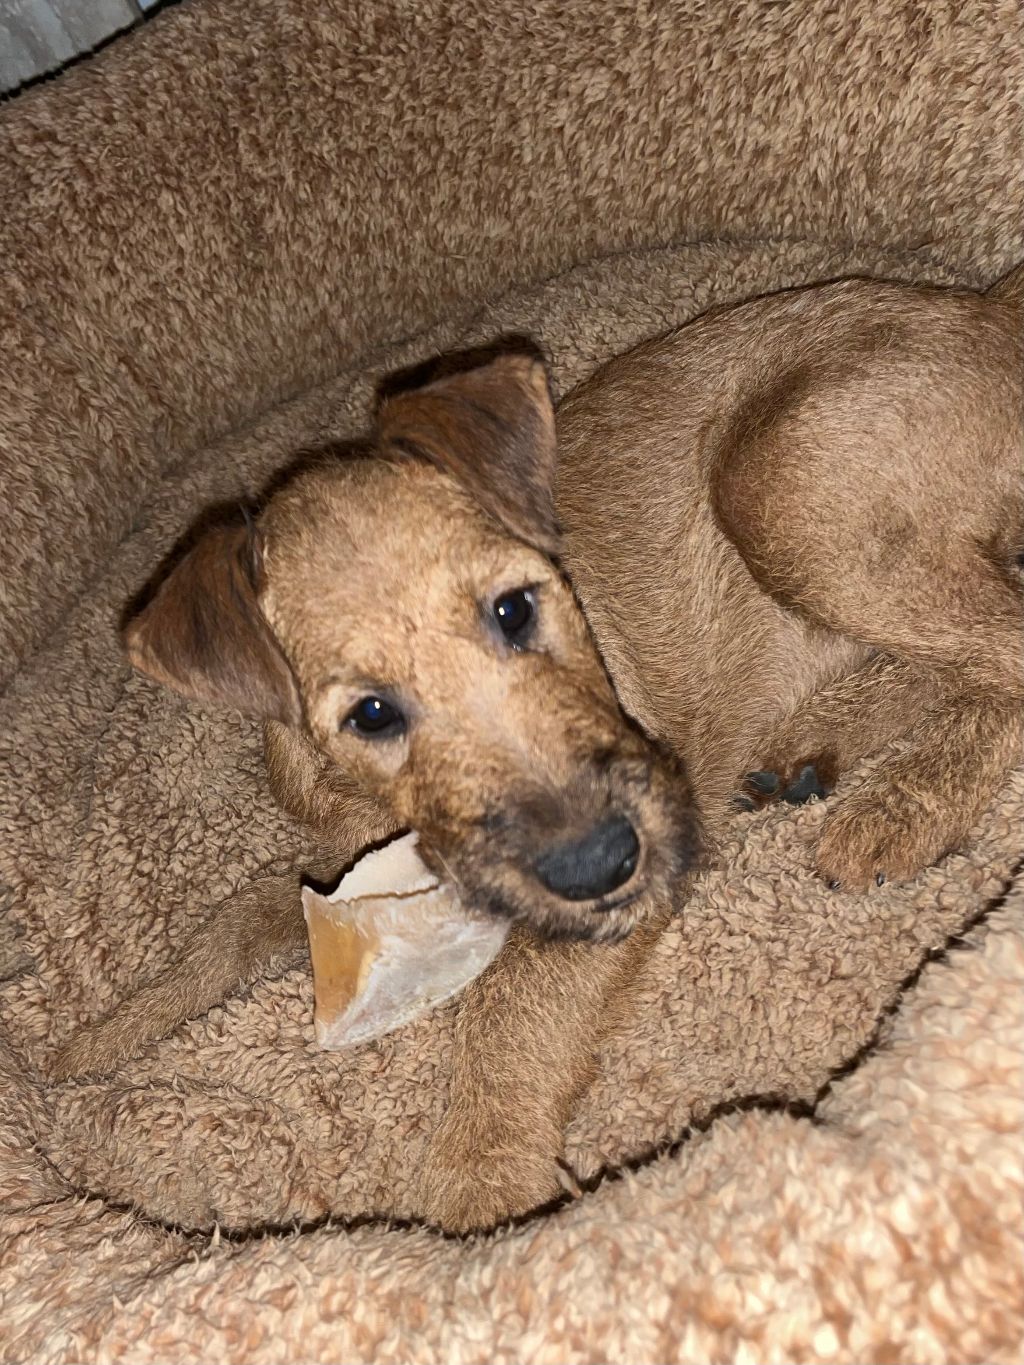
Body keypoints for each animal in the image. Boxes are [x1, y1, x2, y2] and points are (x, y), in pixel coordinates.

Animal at [53, 265, 1024, 1232]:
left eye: (515, 607)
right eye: (371, 713)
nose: (604, 859)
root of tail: (987, 306)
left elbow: (514, 1007)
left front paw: (485, 1186)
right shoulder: (340, 863)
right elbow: (229, 926)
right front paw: (90, 1043)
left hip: (776, 483)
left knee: (1003, 644)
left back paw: (905, 803)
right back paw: (815, 747)